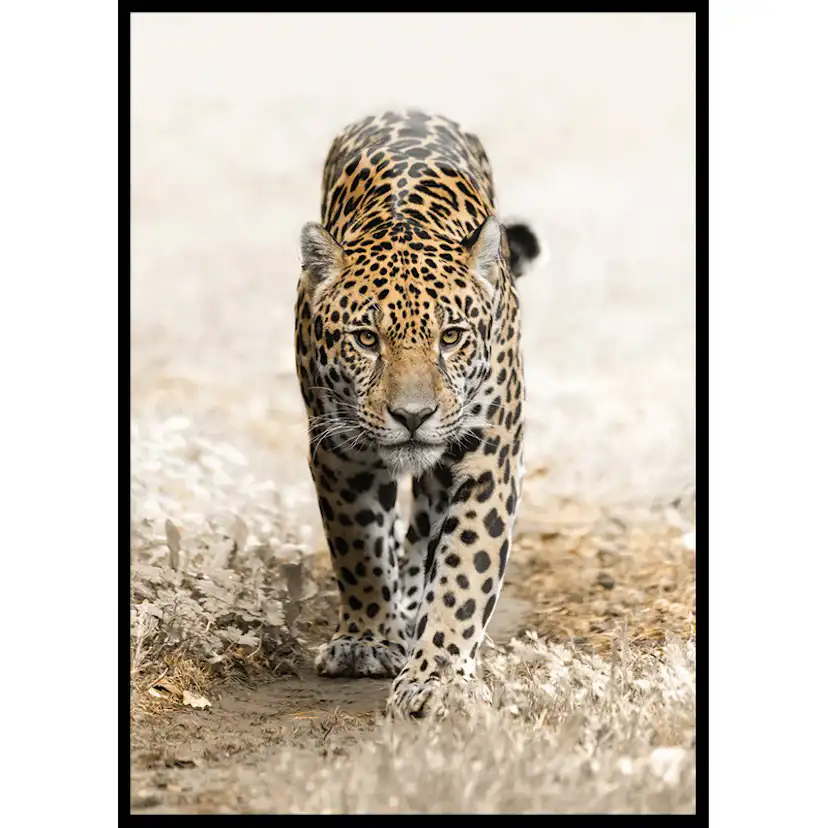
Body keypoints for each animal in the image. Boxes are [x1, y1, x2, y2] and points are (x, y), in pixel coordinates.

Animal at [293, 110, 540, 718]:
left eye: (451, 337)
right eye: (365, 338)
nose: (413, 416)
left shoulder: (489, 457)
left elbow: (464, 568)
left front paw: (439, 676)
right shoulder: (339, 453)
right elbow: (357, 546)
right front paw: (365, 641)